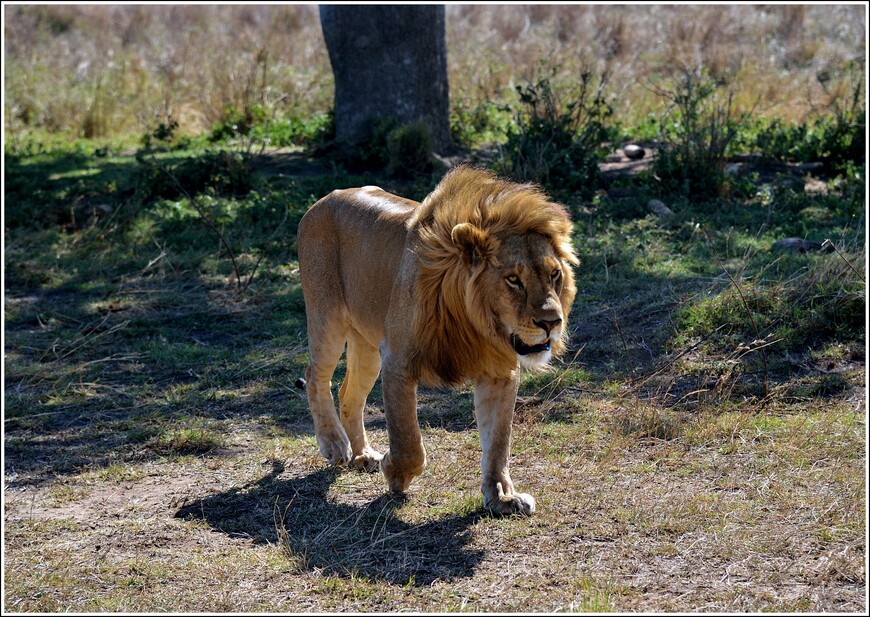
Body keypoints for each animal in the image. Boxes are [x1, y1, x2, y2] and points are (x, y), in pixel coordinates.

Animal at [300, 165, 580, 516]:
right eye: (513, 279)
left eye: (555, 274)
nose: (552, 322)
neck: (474, 322)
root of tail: (324, 199)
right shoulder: (397, 360)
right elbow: (408, 439)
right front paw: (396, 473)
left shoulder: (500, 371)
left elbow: (498, 441)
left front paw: (502, 497)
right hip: (328, 320)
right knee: (315, 377)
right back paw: (335, 444)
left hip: (366, 345)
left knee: (349, 394)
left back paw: (363, 455)